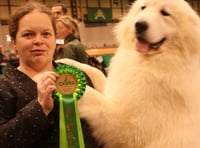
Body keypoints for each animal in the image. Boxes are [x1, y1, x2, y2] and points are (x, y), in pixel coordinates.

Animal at [57, 0, 200, 147]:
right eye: (143, 7)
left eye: (165, 13)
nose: (139, 25)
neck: (146, 61)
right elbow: (96, 72)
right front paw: (66, 62)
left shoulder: (131, 128)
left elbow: (94, 97)